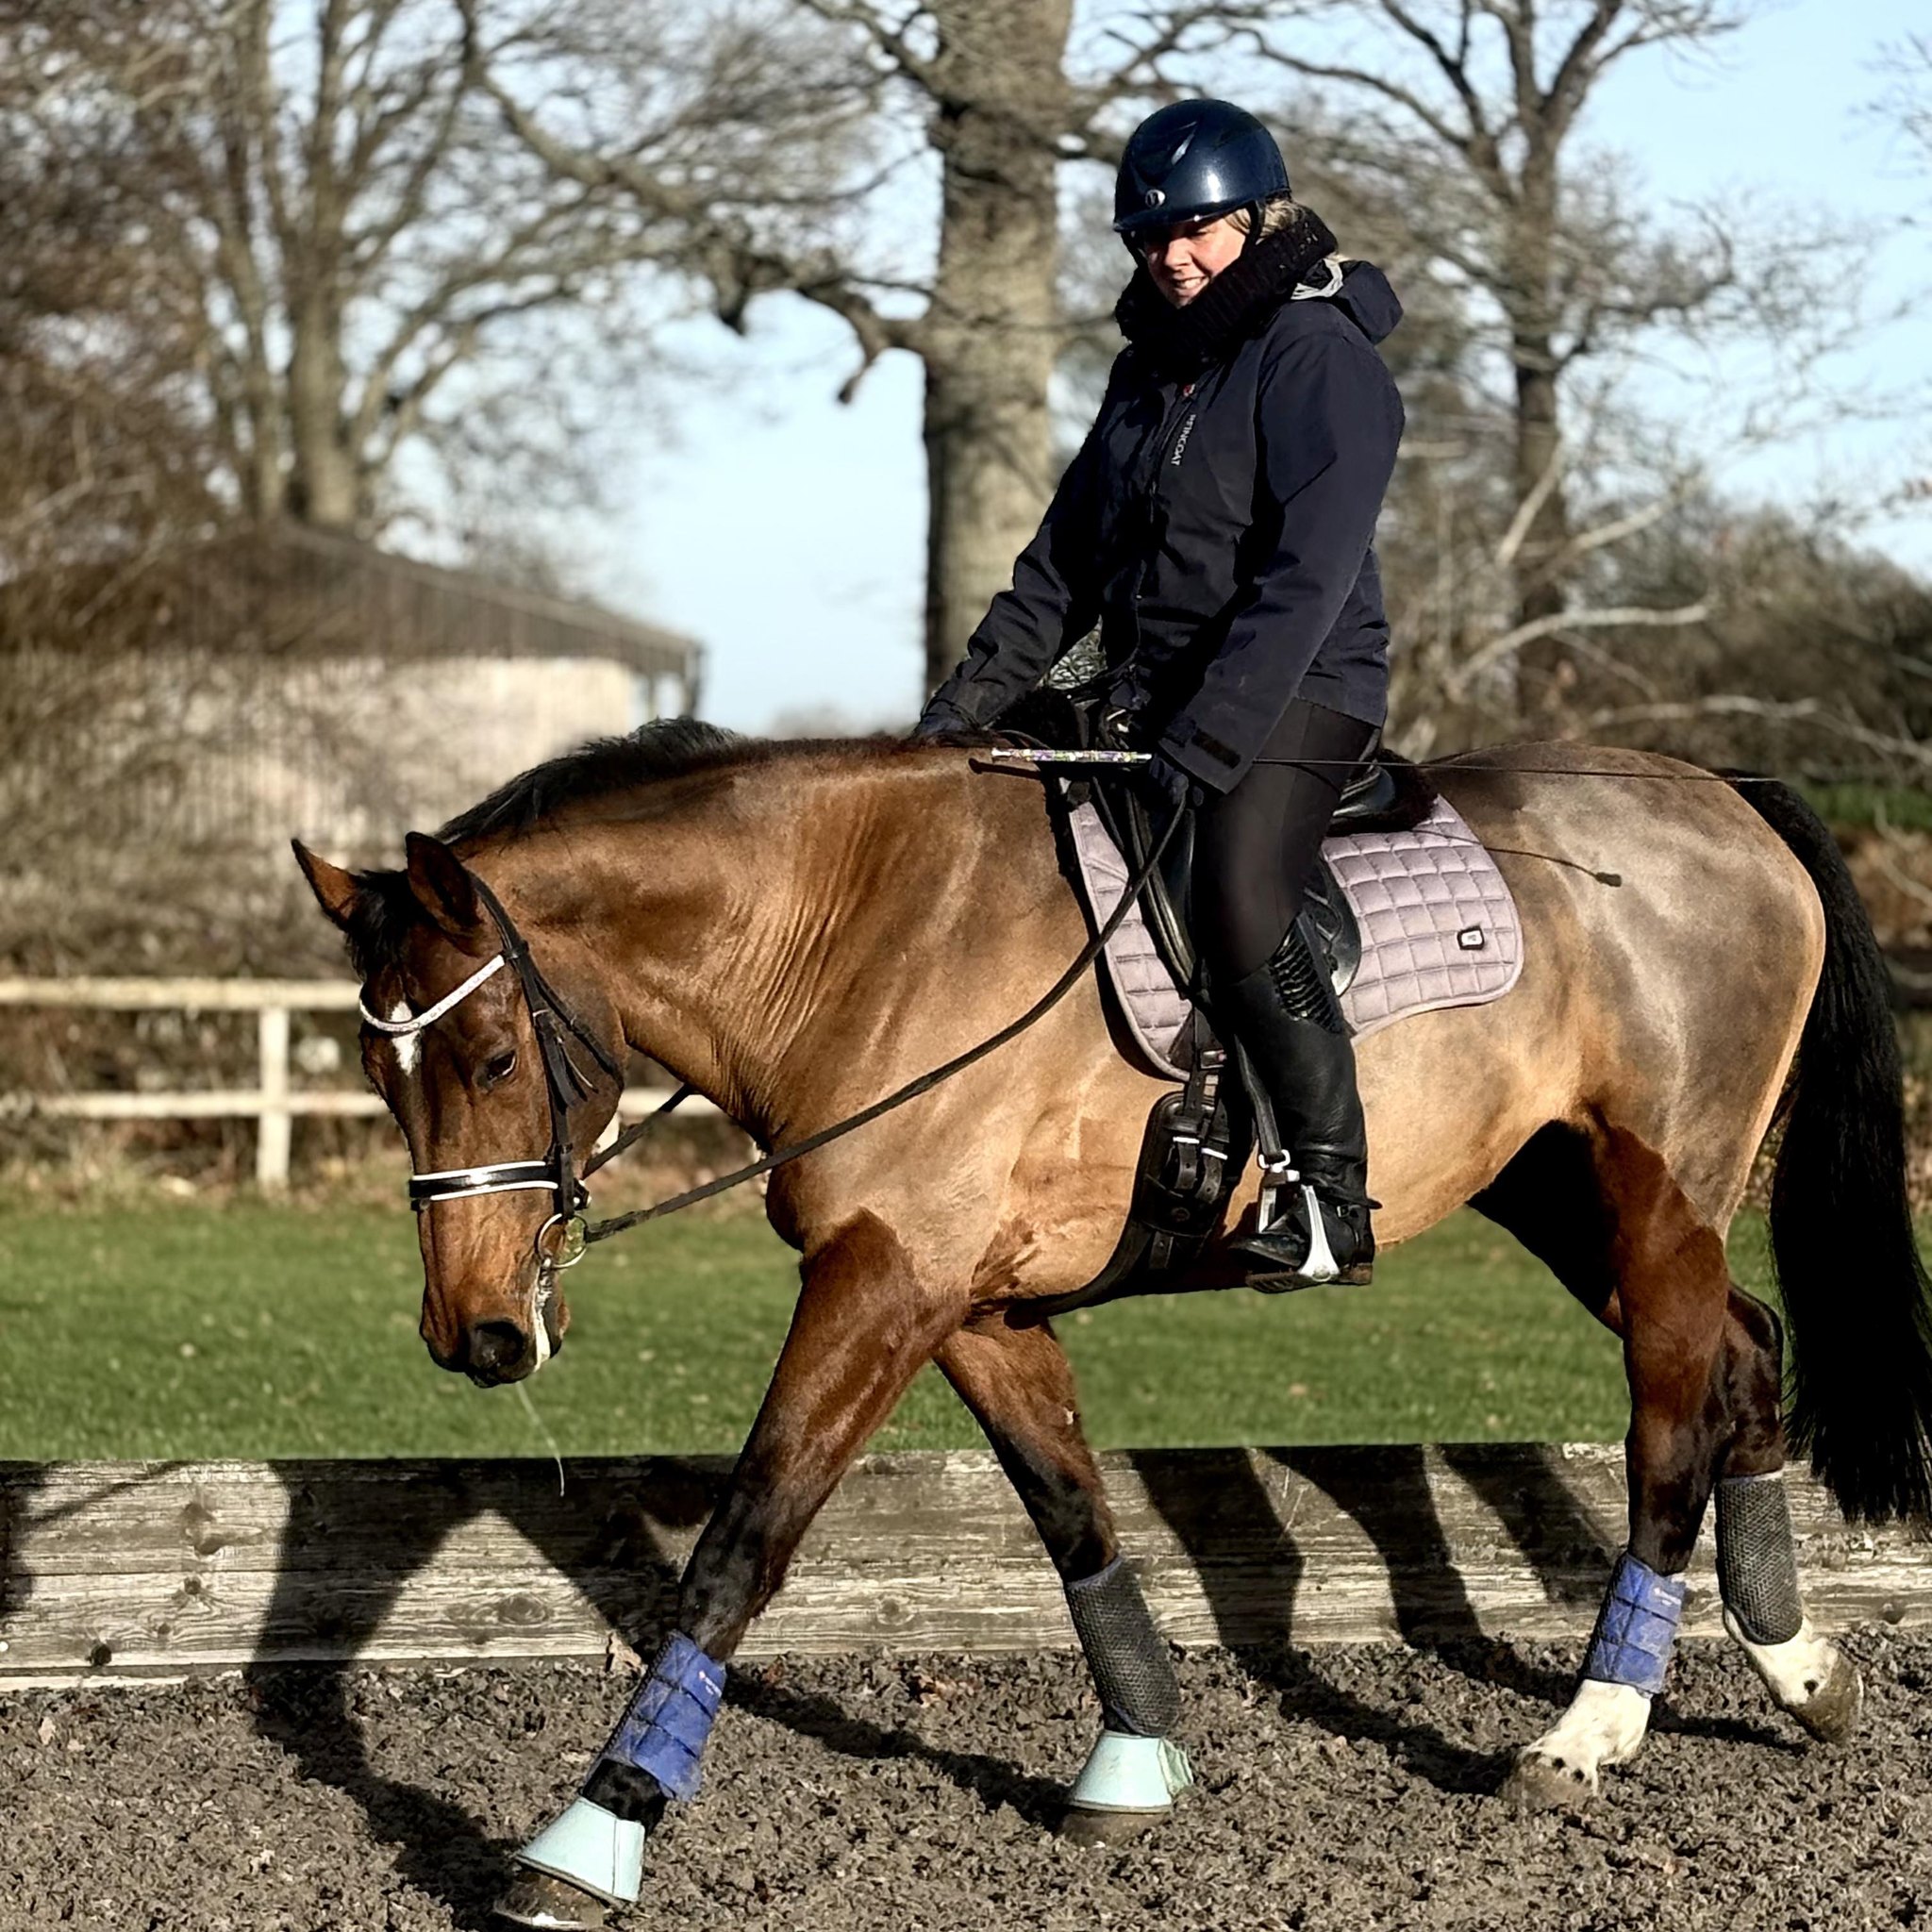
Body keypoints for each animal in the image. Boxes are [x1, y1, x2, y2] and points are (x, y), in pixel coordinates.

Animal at [294, 722, 1932, 1930]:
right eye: (378, 1078)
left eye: (493, 1056)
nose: (478, 1335)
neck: (856, 934)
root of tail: (1718, 792)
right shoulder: (968, 1300)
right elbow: (1070, 1505)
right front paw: (1138, 1757)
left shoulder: (883, 1287)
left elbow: (742, 1544)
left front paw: (595, 1832)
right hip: (1560, 1188)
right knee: (1745, 1355)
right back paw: (1798, 1670)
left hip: (1661, 1191)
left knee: (1669, 1418)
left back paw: (1589, 1733)